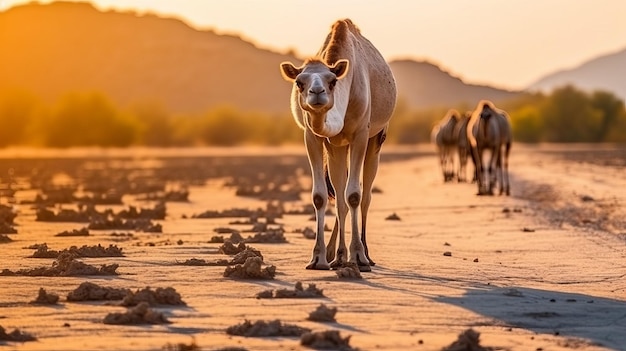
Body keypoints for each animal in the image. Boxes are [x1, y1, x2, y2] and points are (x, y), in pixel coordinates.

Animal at [280, 18, 394, 272]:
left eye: (332, 82)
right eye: (299, 83)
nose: (317, 92)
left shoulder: (360, 133)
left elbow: (354, 195)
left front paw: (358, 257)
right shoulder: (313, 137)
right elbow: (321, 196)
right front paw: (318, 258)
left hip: (376, 137)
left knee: (365, 195)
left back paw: (365, 255)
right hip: (338, 146)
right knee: (339, 196)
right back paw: (338, 256)